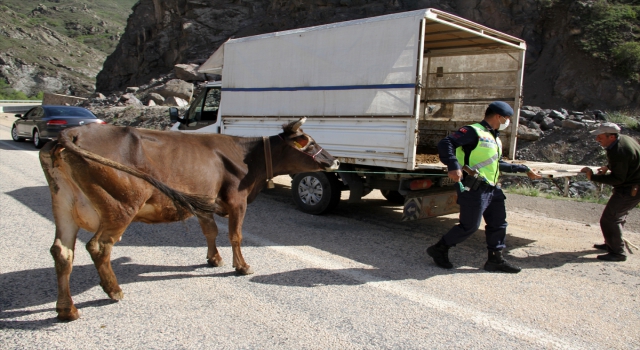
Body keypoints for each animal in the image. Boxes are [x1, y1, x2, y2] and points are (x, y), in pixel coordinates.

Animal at [38, 119, 340, 322]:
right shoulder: (237, 200)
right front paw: (241, 266)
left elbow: (210, 231)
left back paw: (67, 309)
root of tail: (74, 131)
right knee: (99, 246)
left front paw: (213, 259)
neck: (248, 160)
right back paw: (114, 291)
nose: (334, 160)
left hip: (64, 204)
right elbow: (235, 235)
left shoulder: (204, 200)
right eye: (309, 142)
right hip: (120, 204)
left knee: (62, 251)